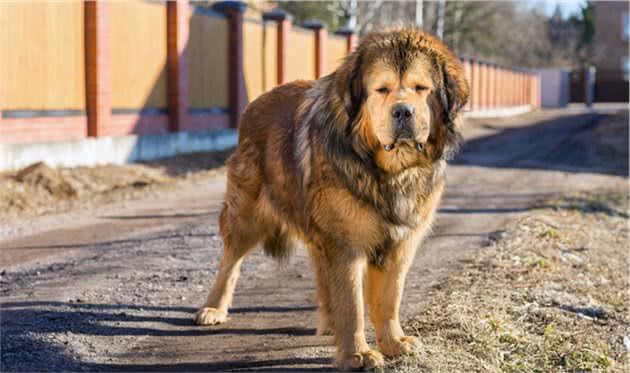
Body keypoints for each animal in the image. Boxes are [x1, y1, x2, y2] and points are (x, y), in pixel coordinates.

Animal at [196, 28, 470, 370]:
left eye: (421, 89)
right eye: (382, 89)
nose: (403, 111)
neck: (389, 172)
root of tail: (256, 102)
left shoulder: (400, 244)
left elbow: (388, 300)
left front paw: (393, 343)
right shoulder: (346, 245)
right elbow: (352, 304)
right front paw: (358, 354)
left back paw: (328, 323)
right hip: (246, 215)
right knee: (230, 261)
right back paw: (213, 308)